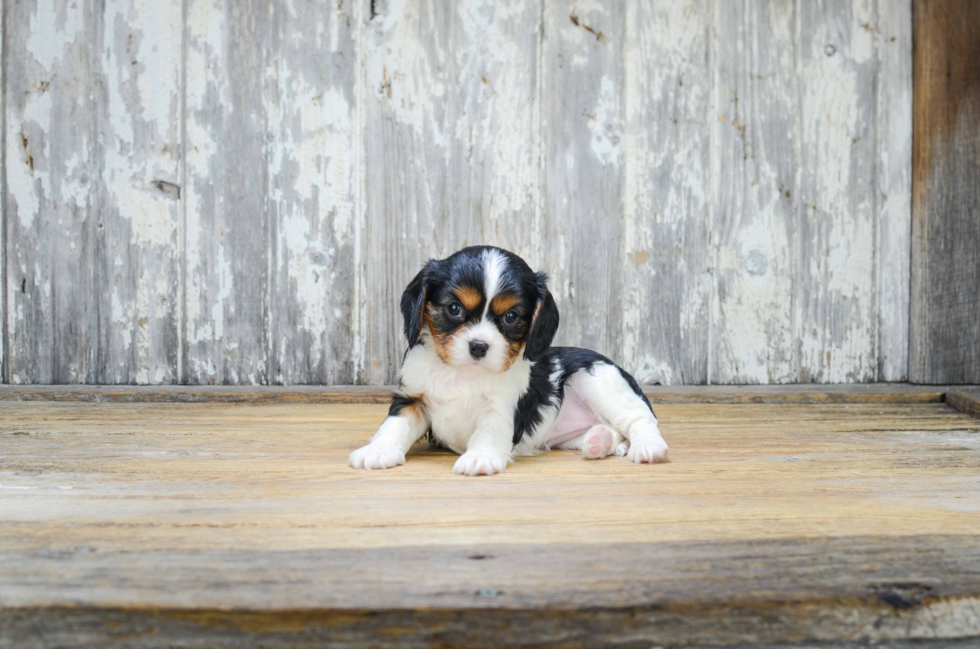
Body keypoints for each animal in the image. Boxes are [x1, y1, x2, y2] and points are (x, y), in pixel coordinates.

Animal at [348, 244, 668, 476]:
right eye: (454, 309)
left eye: (511, 316)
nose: (479, 346)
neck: (463, 373)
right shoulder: (413, 397)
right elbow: (395, 425)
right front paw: (378, 451)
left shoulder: (501, 409)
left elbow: (487, 433)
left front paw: (479, 458)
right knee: (613, 430)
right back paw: (599, 441)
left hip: (597, 378)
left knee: (640, 419)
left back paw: (647, 447)